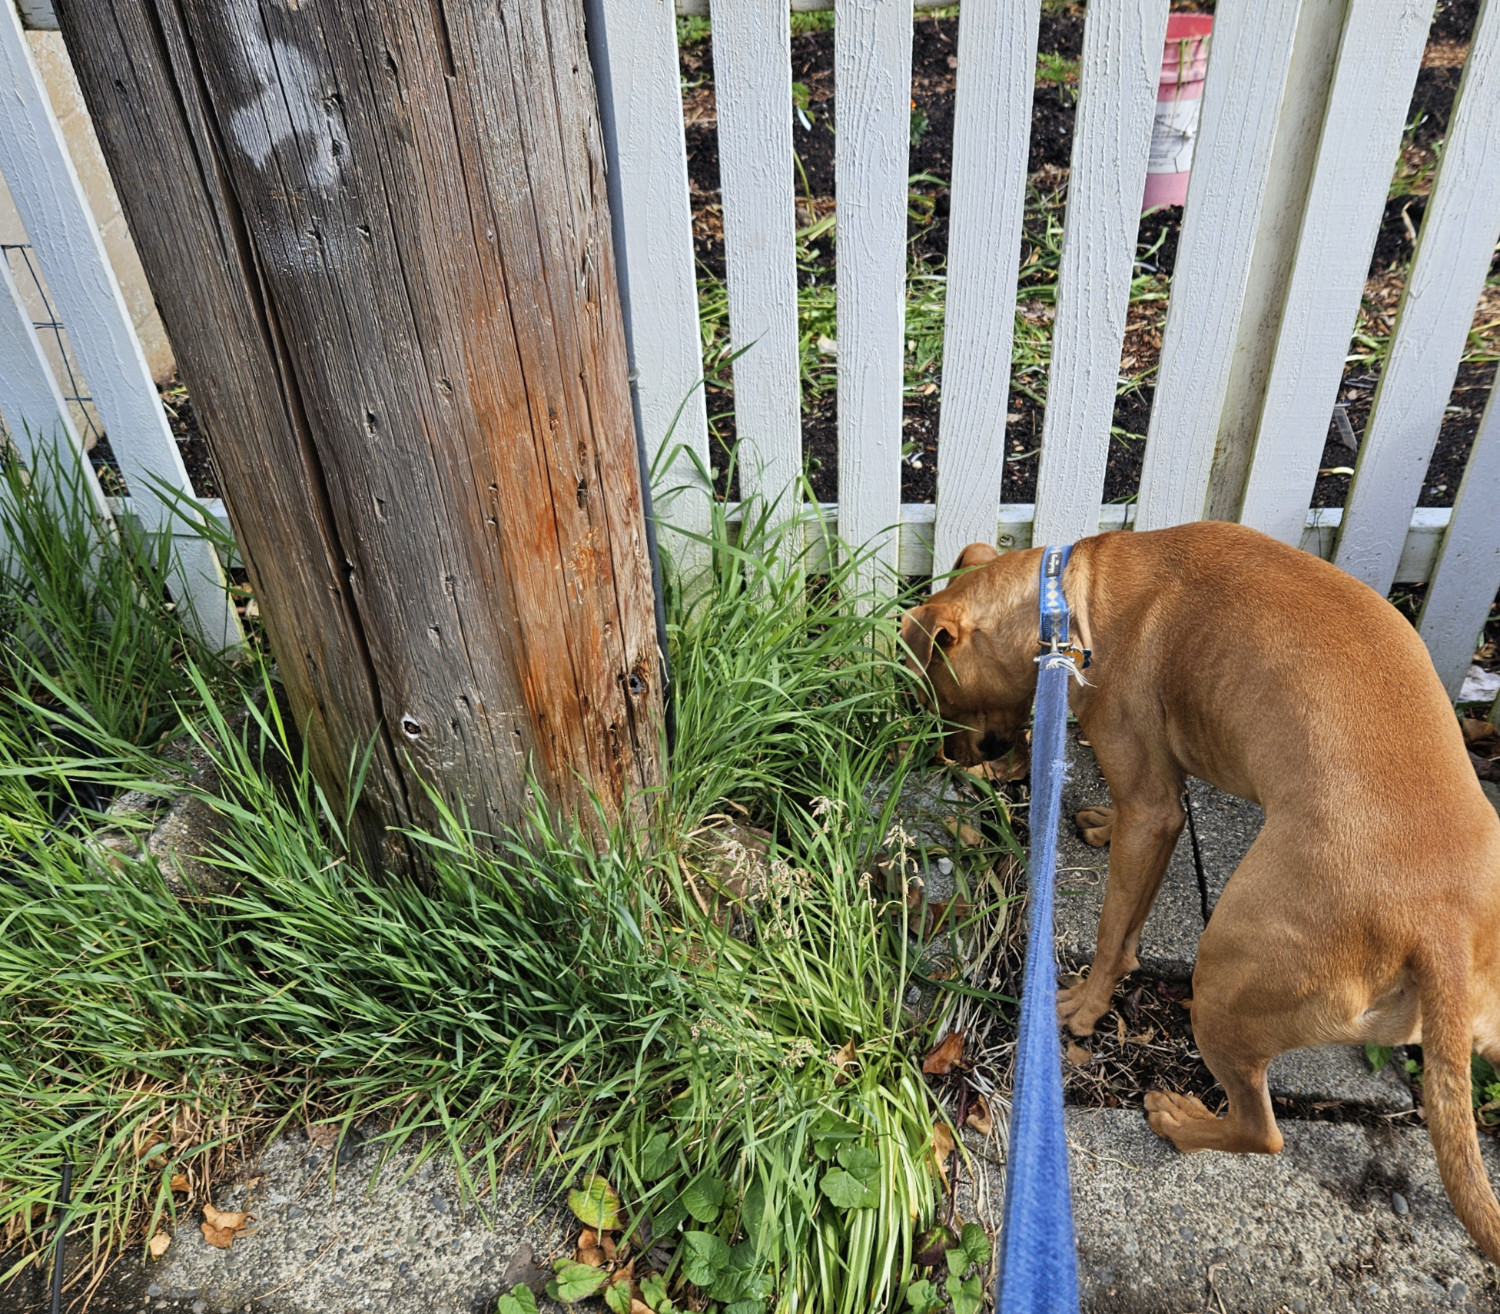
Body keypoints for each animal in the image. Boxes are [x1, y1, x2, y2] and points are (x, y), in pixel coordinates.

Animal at [906, 522, 1500, 1260]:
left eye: (939, 695)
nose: (951, 758)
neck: (1065, 601)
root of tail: (1440, 927)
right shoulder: (1159, 802)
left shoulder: (1151, 805)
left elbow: (1114, 932)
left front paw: (1084, 1009)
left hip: (1225, 982)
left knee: (1261, 1130)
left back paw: (1180, 1120)